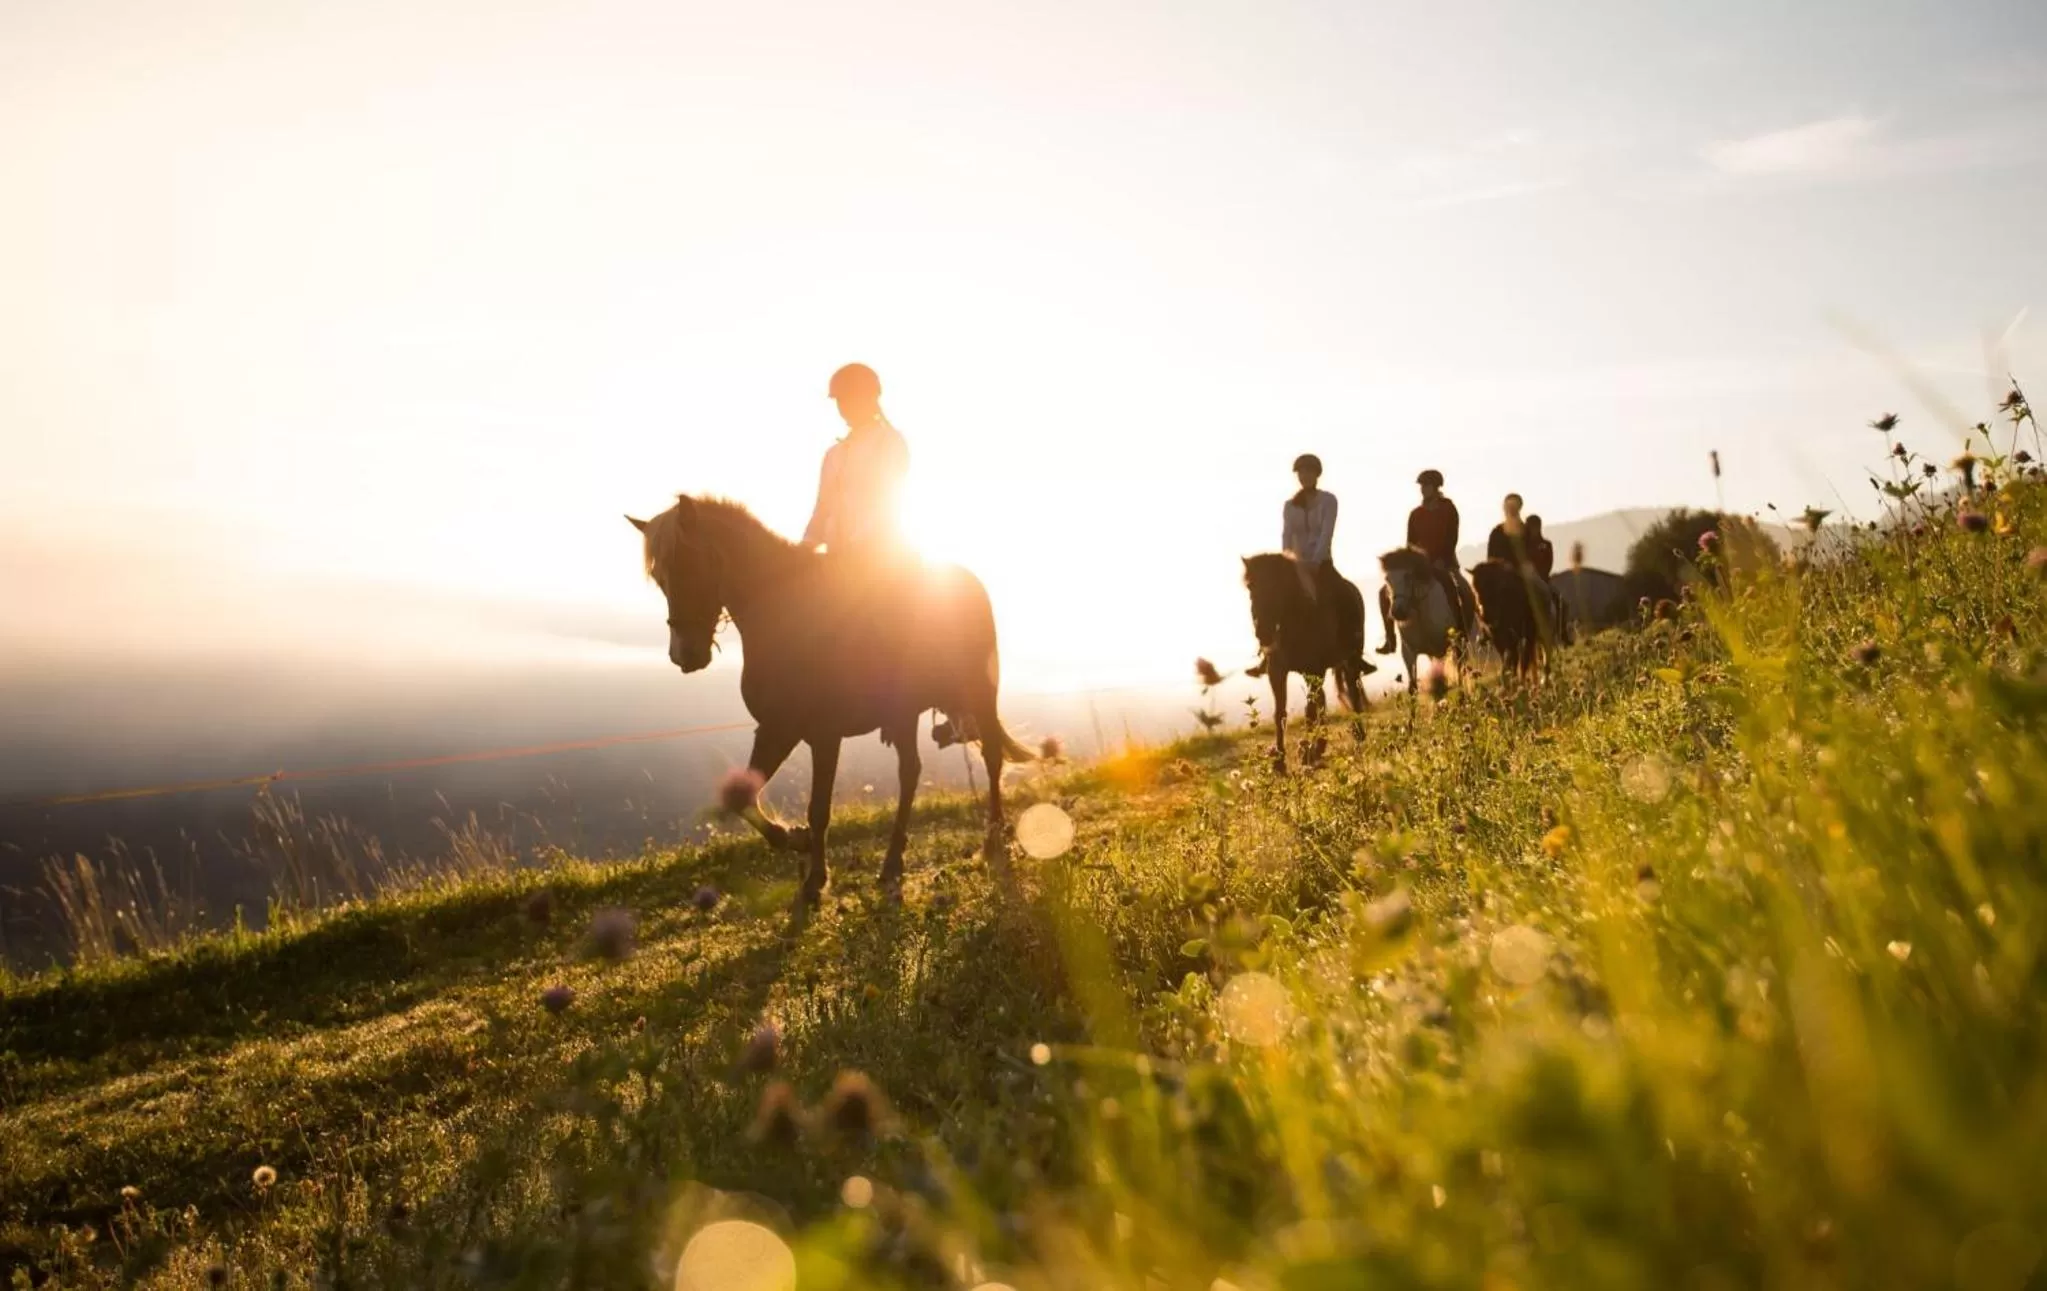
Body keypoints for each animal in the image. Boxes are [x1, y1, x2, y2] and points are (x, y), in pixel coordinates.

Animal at [628, 496, 1033, 905]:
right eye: (660, 579)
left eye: (689, 564)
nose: (684, 655)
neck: (786, 620)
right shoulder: (776, 729)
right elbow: (742, 796)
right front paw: (795, 839)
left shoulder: (824, 736)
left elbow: (819, 808)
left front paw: (814, 879)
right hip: (905, 715)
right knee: (910, 773)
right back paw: (892, 861)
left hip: (980, 696)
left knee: (991, 757)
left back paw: (993, 838)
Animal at [1241, 553, 1369, 772]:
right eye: (1250, 586)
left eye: (1276, 586)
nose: (1263, 632)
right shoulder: (1277, 671)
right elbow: (1280, 714)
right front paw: (1279, 760)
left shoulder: (1316, 669)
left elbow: (1309, 711)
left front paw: (1305, 754)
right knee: (1323, 700)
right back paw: (1320, 745)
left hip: (1348, 661)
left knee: (1352, 691)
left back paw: (1357, 735)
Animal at [1378, 547, 1471, 695]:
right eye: (1387, 579)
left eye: (1408, 576)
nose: (1397, 612)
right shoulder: (1409, 652)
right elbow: (1413, 687)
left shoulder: (1445, 647)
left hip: (1459, 643)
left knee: (1461, 667)